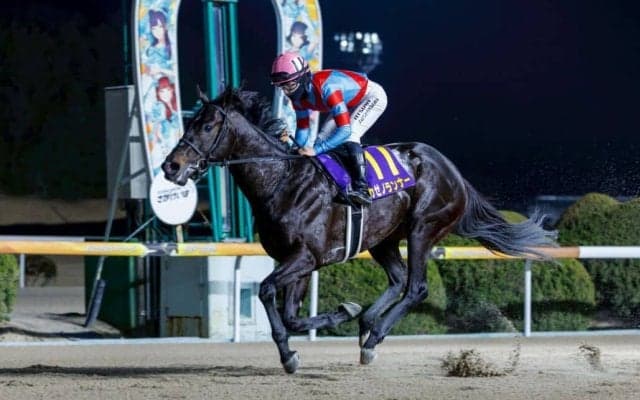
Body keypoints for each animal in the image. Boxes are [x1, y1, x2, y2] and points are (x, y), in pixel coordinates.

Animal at [162, 87, 556, 374]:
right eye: (188, 124)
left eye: (207, 127)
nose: (171, 166)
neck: (281, 181)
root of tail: (453, 172)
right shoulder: (297, 260)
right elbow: (289, 315)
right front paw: (303, 344)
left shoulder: (305, 257)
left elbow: (266, 290)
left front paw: (314, 335)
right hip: (384, 239)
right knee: (397, 280)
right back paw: (367, 321)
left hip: (422, 229)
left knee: (416, 287)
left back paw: (372, 338)